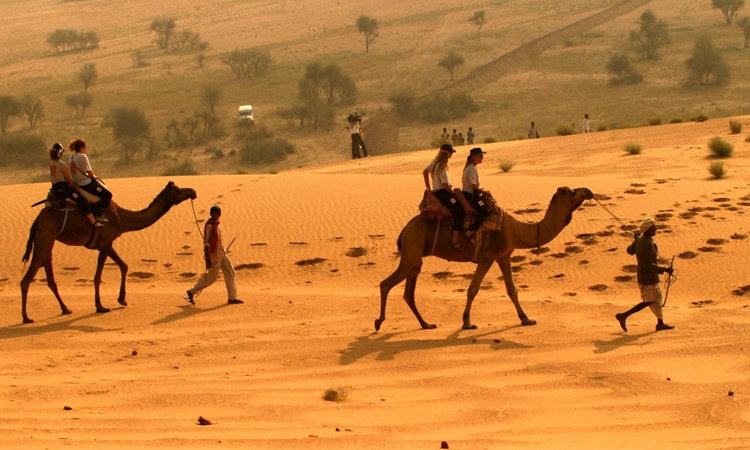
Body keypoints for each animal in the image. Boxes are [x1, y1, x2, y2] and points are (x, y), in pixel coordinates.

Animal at [22, 179, 200, 324]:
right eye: (179, 191)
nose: (193, 191)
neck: (122, 217)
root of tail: (38, 219)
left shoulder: (107, 243)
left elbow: (124, 265)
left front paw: (122, 299)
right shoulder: (106, 242)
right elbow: (97, 277)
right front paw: (100, 306)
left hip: (48, 240)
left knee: (49, 275)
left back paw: (65, 309)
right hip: (45, 237)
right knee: (27, 278)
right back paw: (26, 317)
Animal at [378, 186, 596, 330]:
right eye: (571, 192)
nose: (588, 190)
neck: (515, 230)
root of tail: (405, 229)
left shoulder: (504, 256)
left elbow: (512, 290)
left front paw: (526, 319)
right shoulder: (488, 256)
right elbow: (473, 289)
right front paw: (467, 322)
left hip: (415, 254)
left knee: (409, 291)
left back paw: (426, 324)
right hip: (412, 247)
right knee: (386, 283)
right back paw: (379, 322)